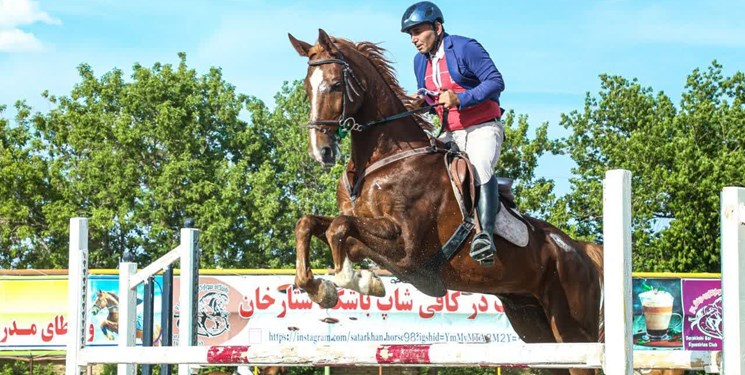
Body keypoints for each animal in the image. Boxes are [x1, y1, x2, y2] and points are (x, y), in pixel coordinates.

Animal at [288, 30, 600, 375]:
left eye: (335, 85)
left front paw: (352, 280)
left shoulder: (407, 247)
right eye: (307, 88)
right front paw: (326, 287)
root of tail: (580, 249)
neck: (383, 161)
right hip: (533, 325)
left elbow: (339, 228)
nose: (322, 152)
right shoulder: (373, 240)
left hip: (573, 331)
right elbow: (312, 225)